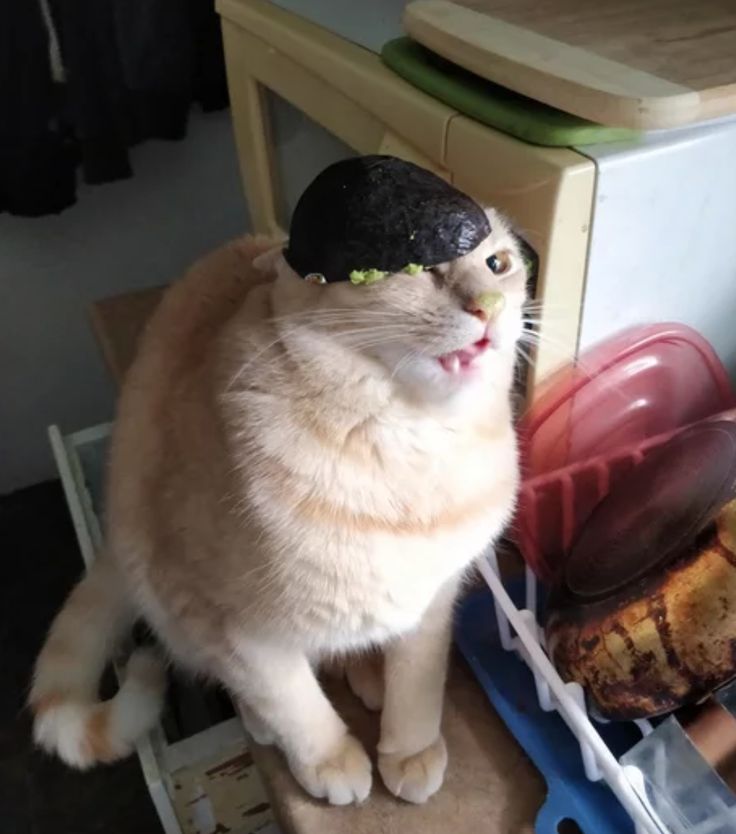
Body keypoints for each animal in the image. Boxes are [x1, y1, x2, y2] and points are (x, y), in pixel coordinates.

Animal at [28, 211, 524, 804]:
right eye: (411, 266)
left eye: (498, 263)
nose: (488, 306)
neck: (411, 460)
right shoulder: (224, 624)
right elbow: (292, 701)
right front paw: (329, 760)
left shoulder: (434, 599)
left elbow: (418, 680)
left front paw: (409, 746)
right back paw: (266, 720)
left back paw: (369, 676)